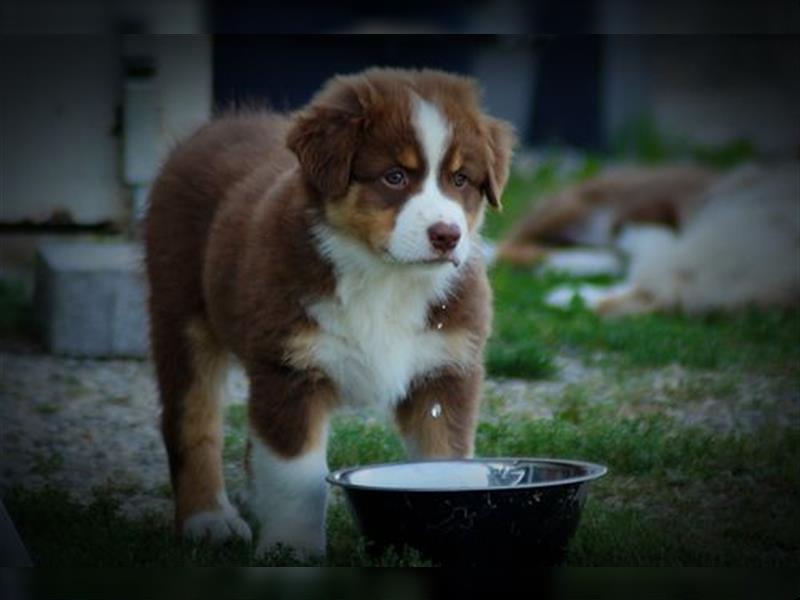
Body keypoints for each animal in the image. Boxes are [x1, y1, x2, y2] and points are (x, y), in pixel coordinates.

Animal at [145, 67, 516, 556]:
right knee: (191, 420)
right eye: (394, 177)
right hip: (181, 312)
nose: (447, 236)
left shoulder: (446, 369)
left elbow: (445, 463)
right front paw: (291, 551)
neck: (384, 278)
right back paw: (207, 519)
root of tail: (216, 126)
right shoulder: (290, 369)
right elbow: (297, 478)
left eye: (460, 180)